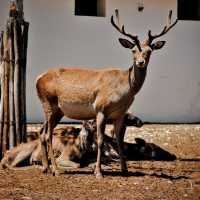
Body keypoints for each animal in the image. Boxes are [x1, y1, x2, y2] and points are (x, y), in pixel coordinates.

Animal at [35, 9, 177, 178]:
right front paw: (98, 172)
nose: (140, 62)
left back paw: (45, 168)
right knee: (47, 134)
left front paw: (125, 170)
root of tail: (38, 79)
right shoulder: (100, 109)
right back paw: (55, 170)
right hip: (49, 103)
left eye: (149, 51)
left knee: (41, 131)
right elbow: (101, 140)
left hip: (57, 111)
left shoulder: (120, 114)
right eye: (133, 50)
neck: (125, 89)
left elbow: (119, 141)